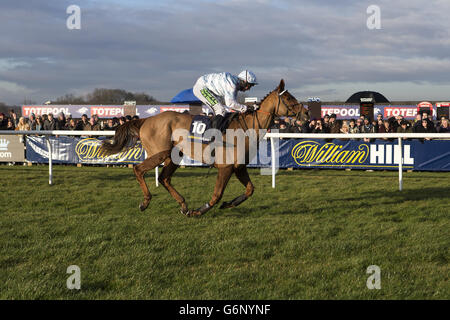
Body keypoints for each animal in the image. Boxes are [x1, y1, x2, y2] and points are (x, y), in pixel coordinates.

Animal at [102, 79, 310, 216]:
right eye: (289, 99)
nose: (306, 113)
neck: (245, 128)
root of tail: (146, 120)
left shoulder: (239, 167)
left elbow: (250, 189)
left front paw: (228, 204)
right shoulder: (226, 167)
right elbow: (217, 194)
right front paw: (201, 210)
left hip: (174, 155)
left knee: (164, 178)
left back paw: (183, 205)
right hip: (159, 153)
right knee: (139, 169)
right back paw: (146, 202)